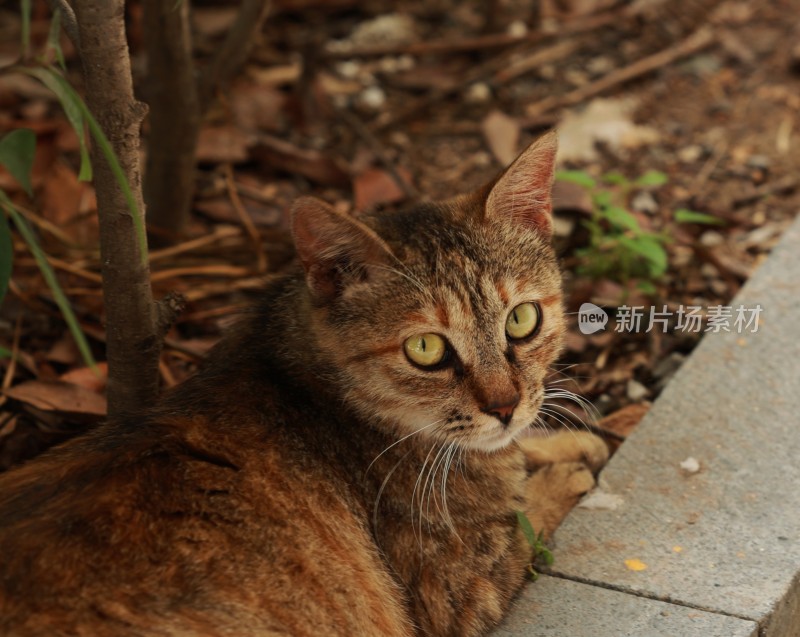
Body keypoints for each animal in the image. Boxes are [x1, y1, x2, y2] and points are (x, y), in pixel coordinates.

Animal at [0, 130, 608, 636]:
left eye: (521, 320)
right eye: (426, 350)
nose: (505, 406)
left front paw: (565, 441)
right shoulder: (466, 595)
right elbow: (531, 524)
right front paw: (562, 472)